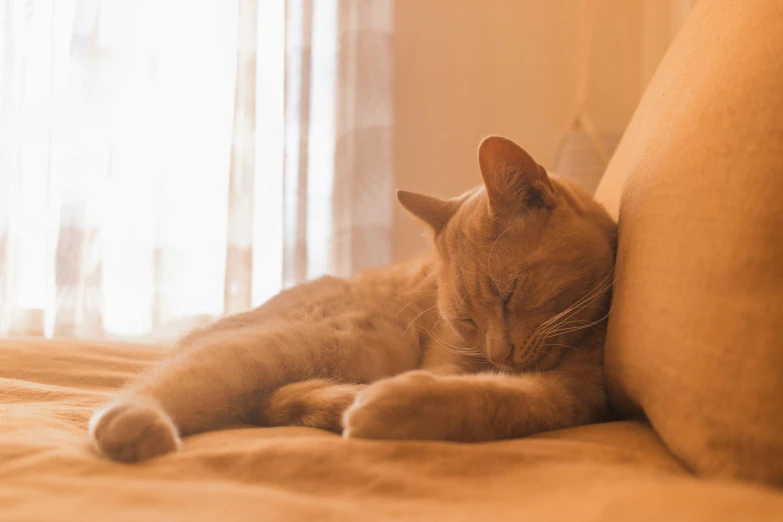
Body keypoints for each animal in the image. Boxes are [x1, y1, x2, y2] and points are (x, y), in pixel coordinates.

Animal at [90, 136, 620, 462]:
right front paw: (384, 402)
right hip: (341, 341)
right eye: (466, 319)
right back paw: (130, 422)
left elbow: (488, 399)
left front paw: (395, 405)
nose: (499, 354)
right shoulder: (446, 357)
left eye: (509, 295)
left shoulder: (564, 397)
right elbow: (453, 381)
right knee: (163, 381)